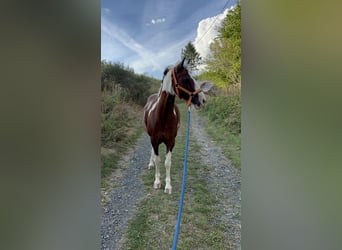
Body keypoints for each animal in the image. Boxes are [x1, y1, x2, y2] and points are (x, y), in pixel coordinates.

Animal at [142, 58, 211, 193]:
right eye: (186, 78)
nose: (203, 100)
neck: (162, 116)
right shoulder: (154, 140)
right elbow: (158, 160)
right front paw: (157, 181)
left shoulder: (171, 142)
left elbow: (167, 162)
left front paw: (168, 186)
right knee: (152, 151)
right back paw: (150, 163)